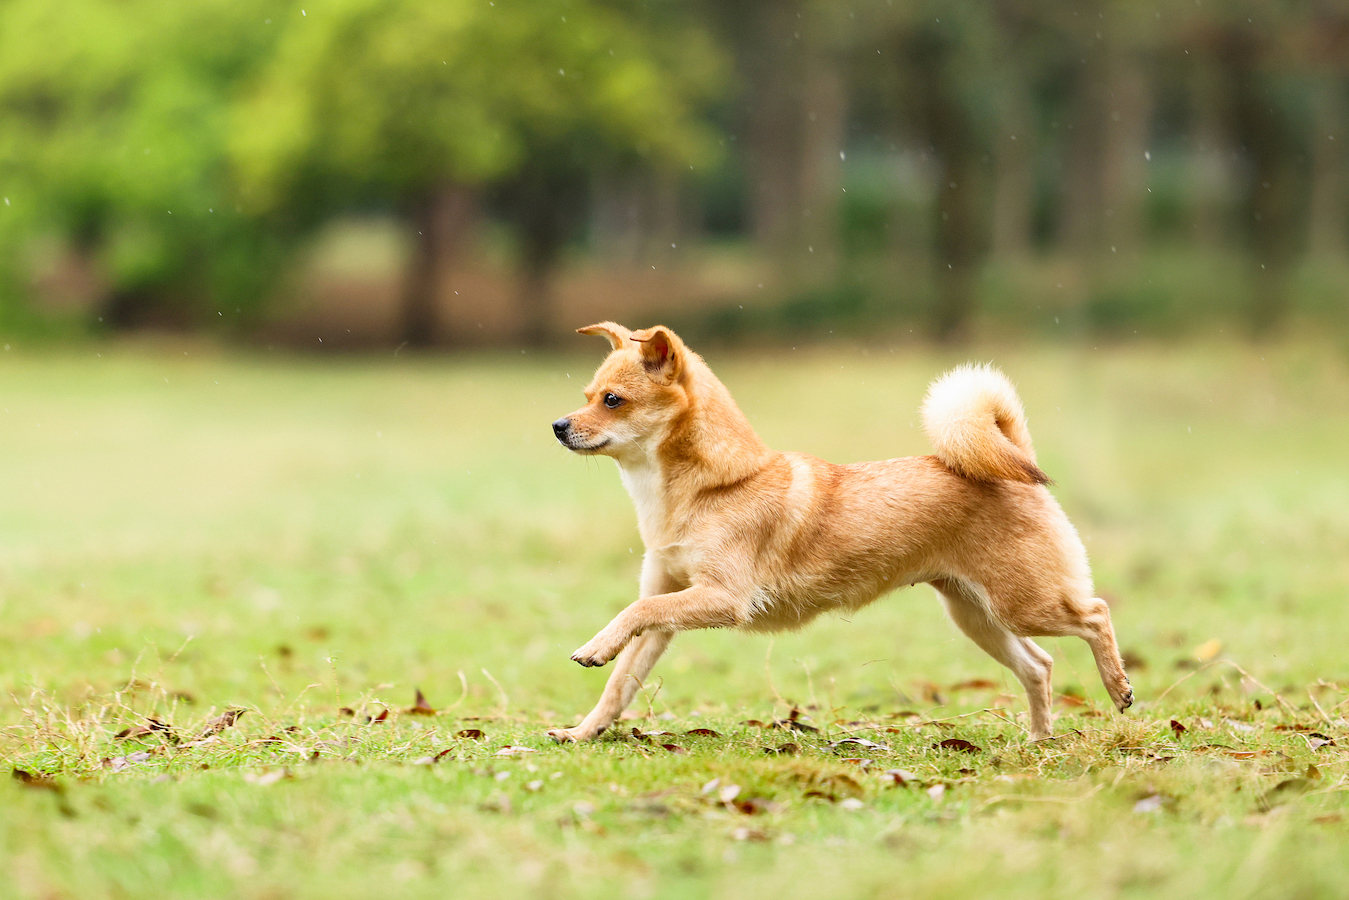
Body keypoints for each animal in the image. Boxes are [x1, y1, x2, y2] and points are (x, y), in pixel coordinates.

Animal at [544, 319, 1127, 744]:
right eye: (588, 395)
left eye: (612, 400)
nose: (558, 426)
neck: (707, 488)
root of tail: (1016, 460)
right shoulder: (668, 606)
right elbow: (621, 679)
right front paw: (583, 731)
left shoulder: (722, 598)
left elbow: (633, 613)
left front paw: (595, 647)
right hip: (976, 616)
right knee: (1039, 666)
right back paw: (1040, 739)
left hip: (1024, 604)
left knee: (1095, 615)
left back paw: (1118, 687)